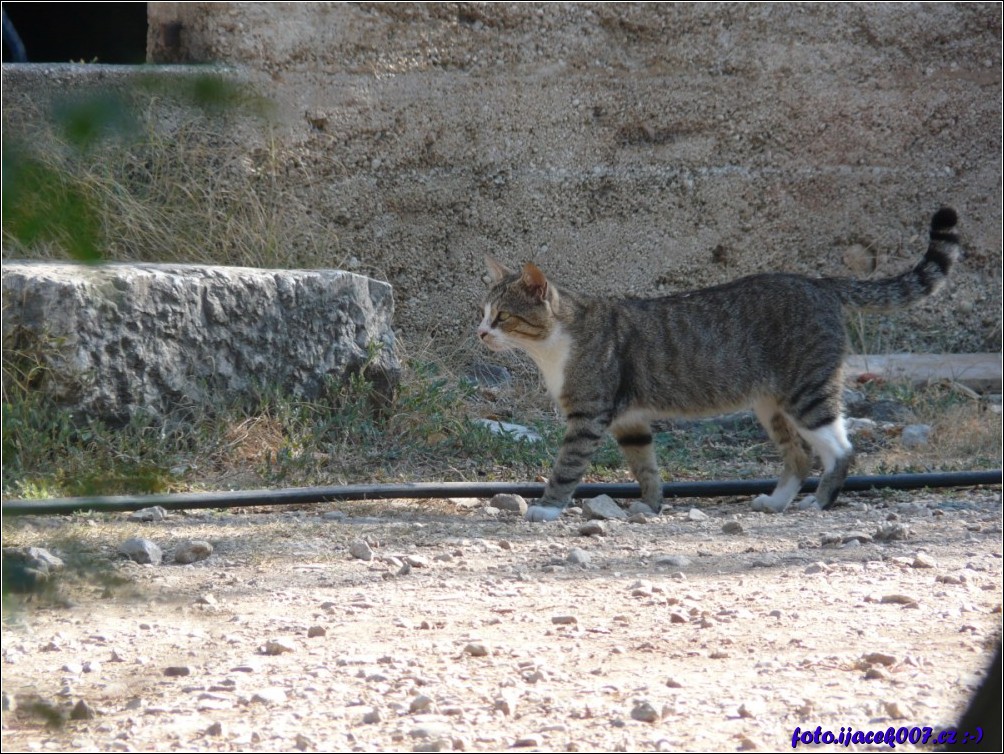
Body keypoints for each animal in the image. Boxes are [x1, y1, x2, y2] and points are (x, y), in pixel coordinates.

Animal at [479, 207, 963, 526]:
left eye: (502, 317)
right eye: (483, 313)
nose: (481, 333)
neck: (554, 344)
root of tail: (816, 282)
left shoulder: (589, 414)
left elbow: (567, 465)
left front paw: (547, 506)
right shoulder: (629, 420)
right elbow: (645, 466)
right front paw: (651, 506)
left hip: (807, 393)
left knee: (840, 449)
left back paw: (818, 503)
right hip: (771, 405)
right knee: (800, 455)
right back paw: (776, 502)